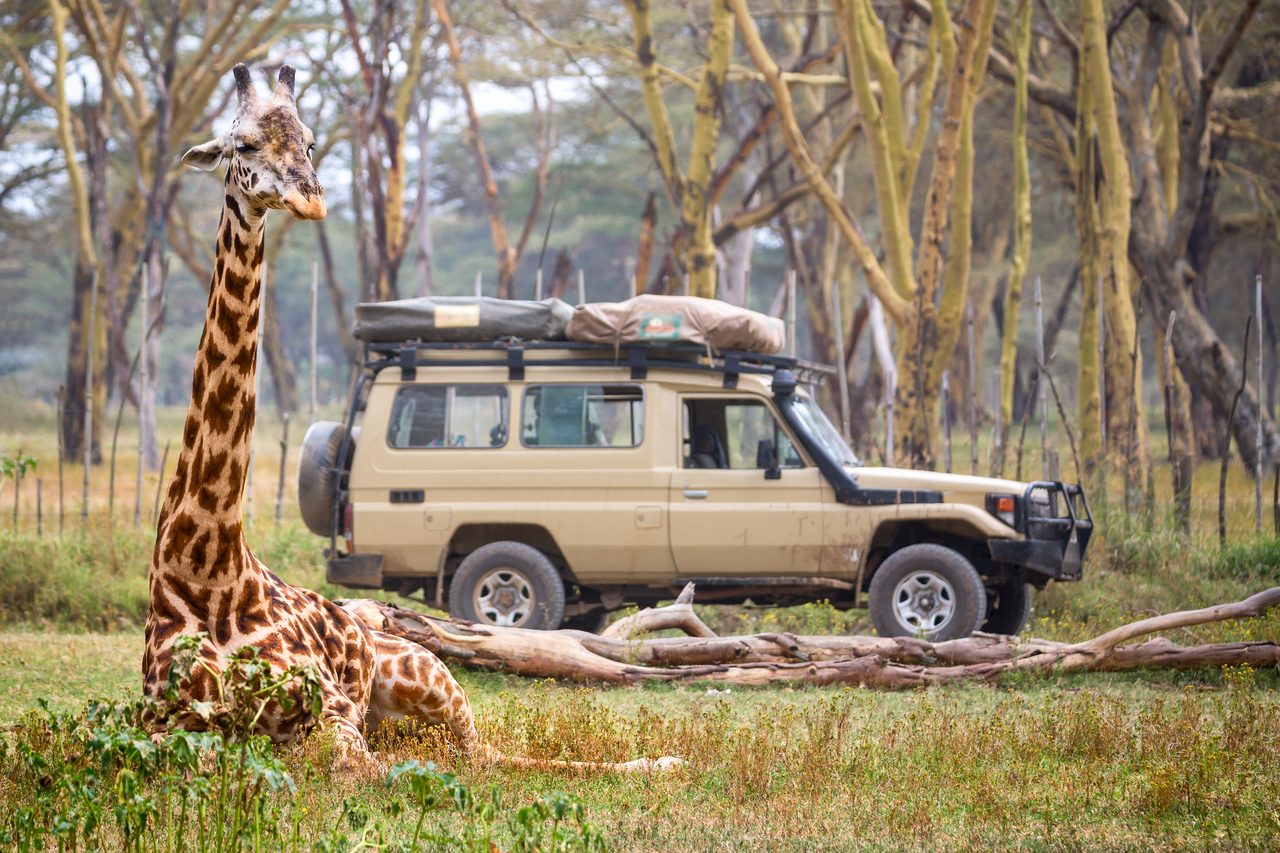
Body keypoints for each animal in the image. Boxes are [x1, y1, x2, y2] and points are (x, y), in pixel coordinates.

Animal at [146, 63, 676, 774]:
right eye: (243, 145)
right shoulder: (157, 723)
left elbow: (355, 769)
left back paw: (658, 762)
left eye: (310, 141)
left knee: (486, 756)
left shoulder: (332, 717)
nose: (311, 200)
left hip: (429, 684)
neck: (204, 570)